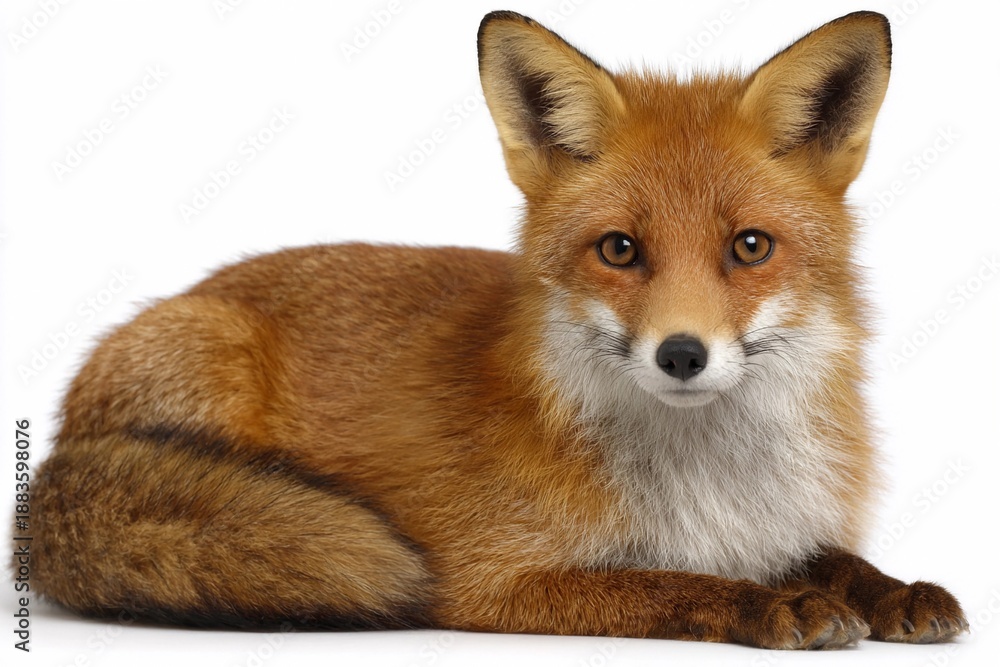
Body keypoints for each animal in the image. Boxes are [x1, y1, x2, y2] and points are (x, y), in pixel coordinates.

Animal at [25, 10, 968, 650]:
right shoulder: (497, 579)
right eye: (619, 249)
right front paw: (765, 603)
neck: (705, 480)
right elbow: (665, 583)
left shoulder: (779, 524)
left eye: (750, 246)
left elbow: (837, 560)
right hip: (212, 362)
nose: (682, 354)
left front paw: (891, 589)